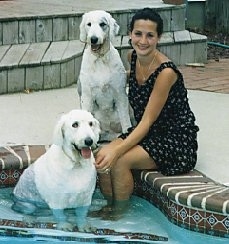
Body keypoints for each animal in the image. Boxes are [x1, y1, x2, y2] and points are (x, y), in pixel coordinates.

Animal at [77, 10, 132, 142]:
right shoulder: (87, 95)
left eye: (102, 24)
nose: (93, 39)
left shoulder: (120, 93)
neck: (100, 58)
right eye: (89, 24)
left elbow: (125, 121)